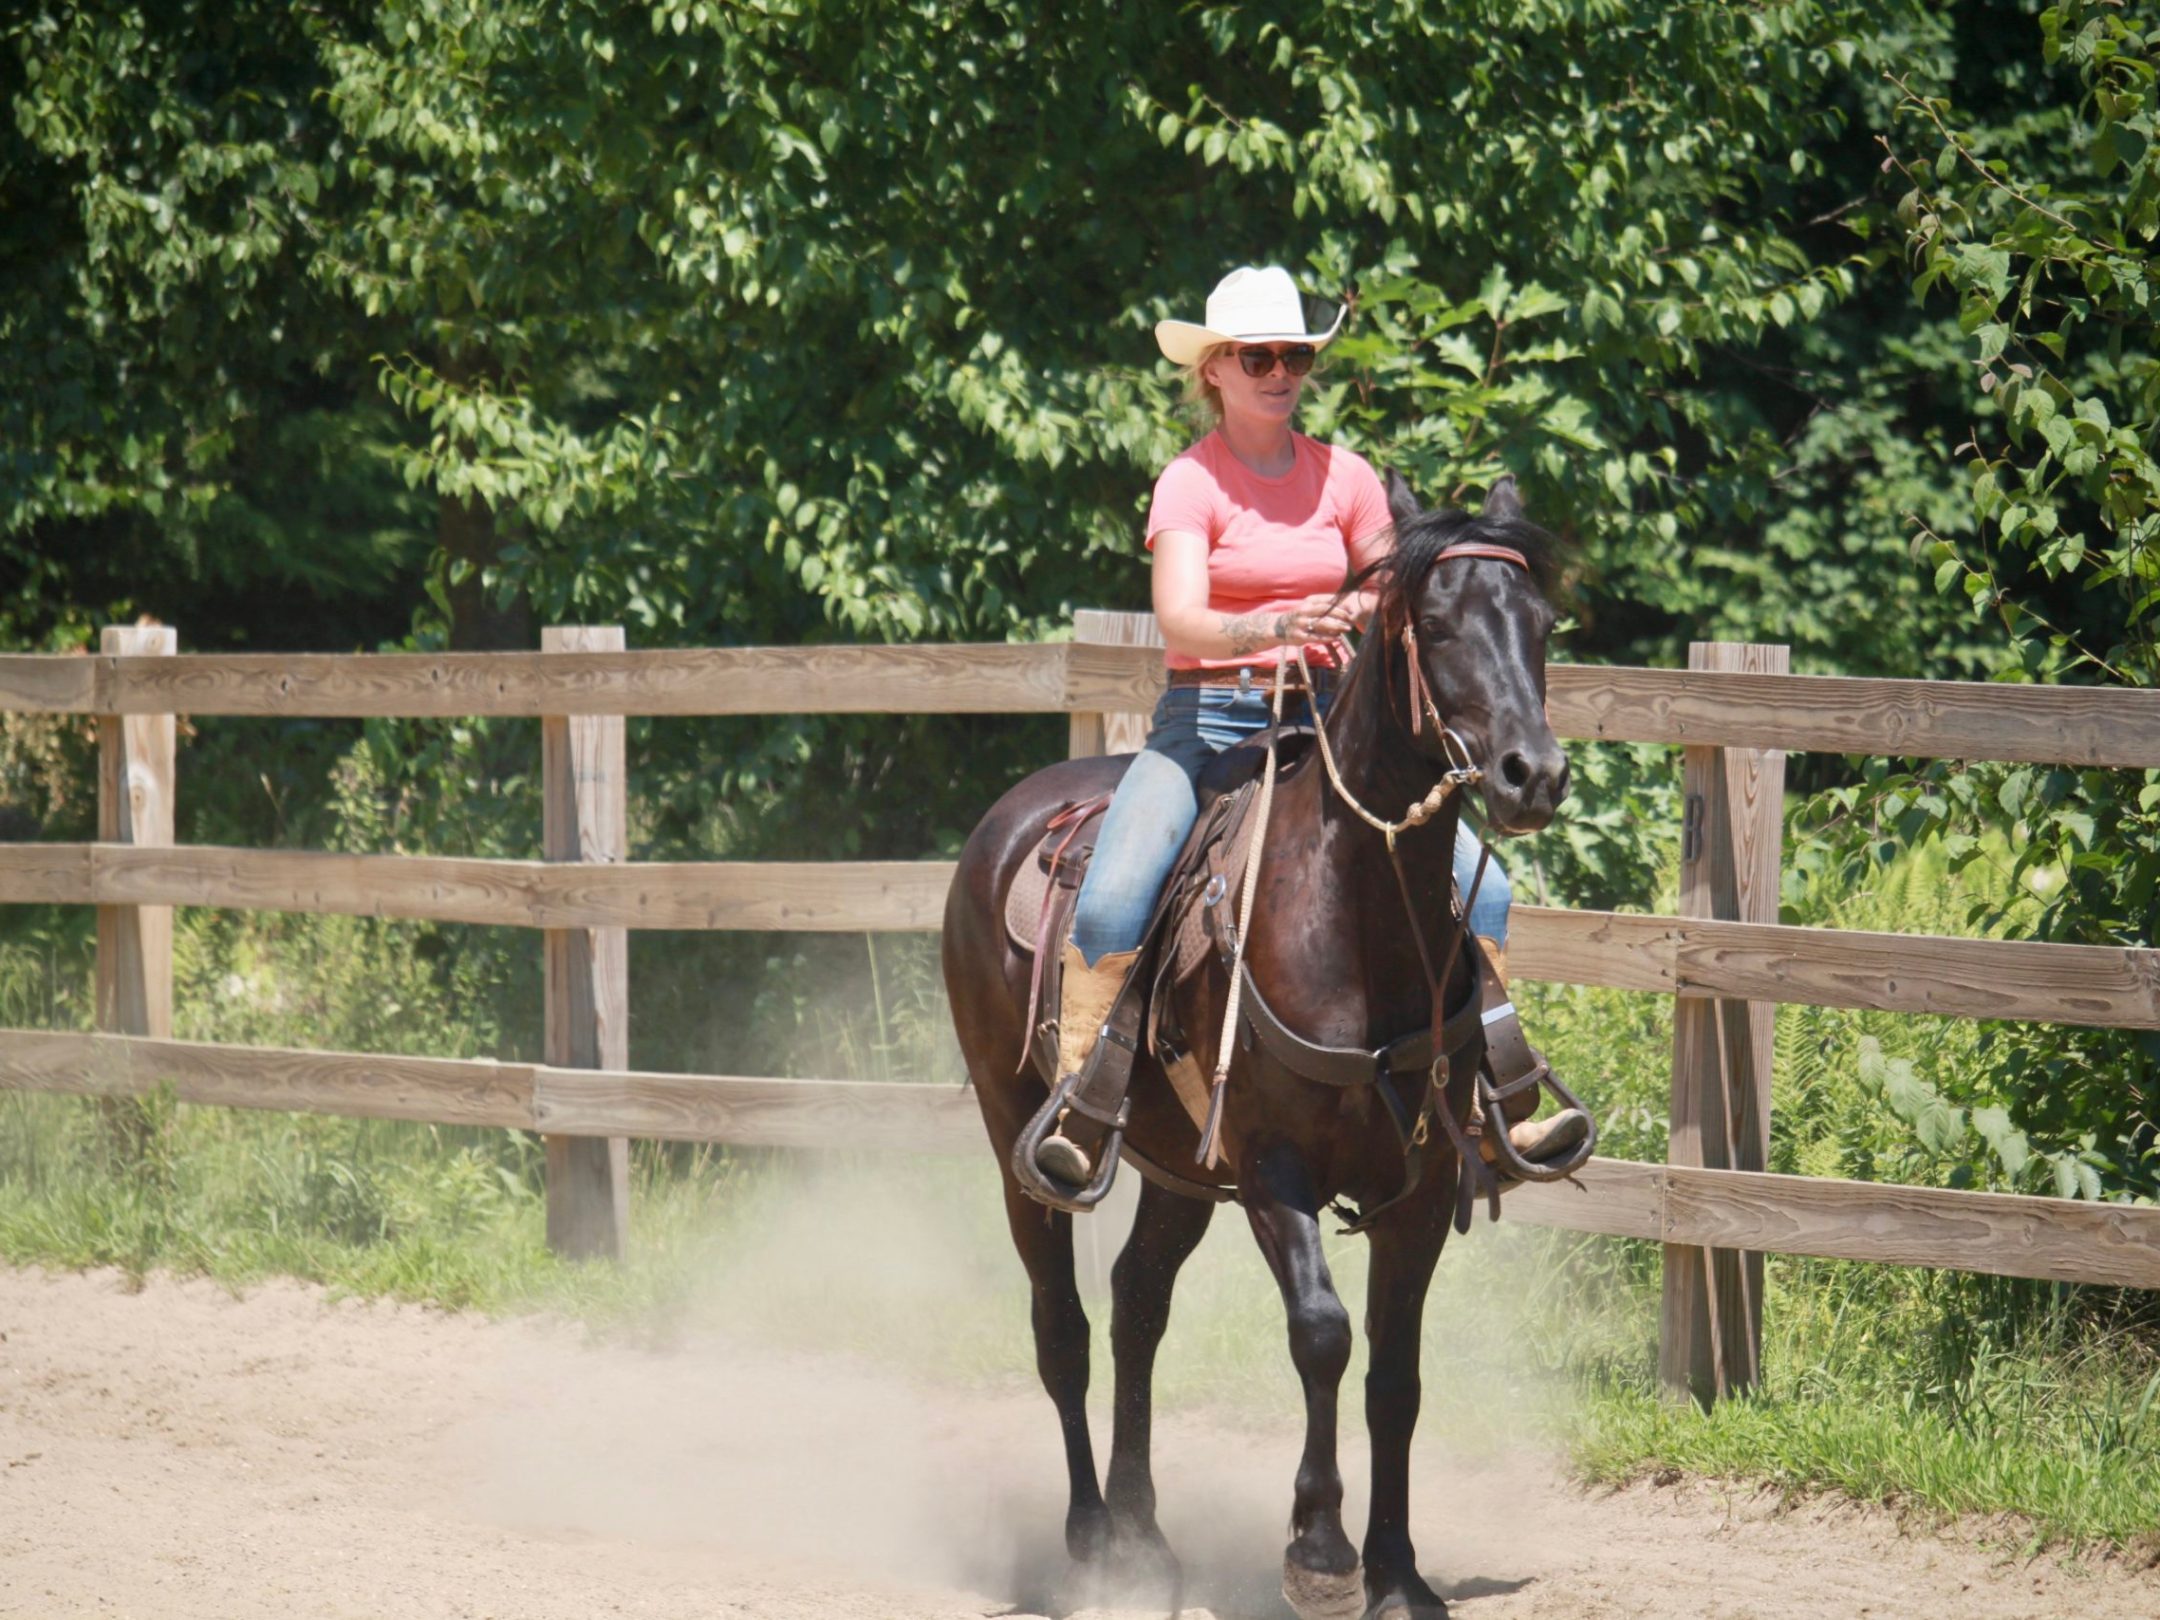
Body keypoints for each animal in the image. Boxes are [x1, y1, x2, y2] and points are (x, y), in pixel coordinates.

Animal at [946, 475, 1572, 1615]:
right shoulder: (1277, 1169)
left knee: (1138, 1303)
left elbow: (1395, 1375)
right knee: (1063, 1326)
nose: (1530, 774)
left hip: (1178, 1170)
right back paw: (1092, 1542)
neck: (1353, 923)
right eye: (1437, 625)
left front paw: (1398, 1571)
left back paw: (1146, 1538)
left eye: (1542, 625)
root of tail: (1007, 820)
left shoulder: (1419, 1186)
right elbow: (1322, 1334)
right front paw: (1319, 1554)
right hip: (1015, 1136)